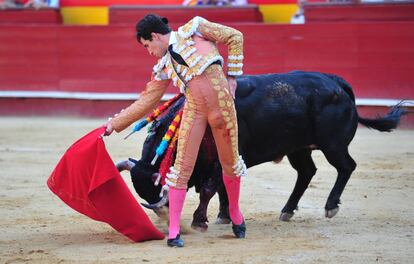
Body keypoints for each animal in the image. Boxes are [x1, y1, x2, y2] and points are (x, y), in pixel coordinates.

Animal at [118, 71, 406, 230]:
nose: (164, 219)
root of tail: (335, 83)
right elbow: (223, 189)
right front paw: (224, 216)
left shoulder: (223, 160)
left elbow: (212, 188)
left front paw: (201, 220)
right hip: (298, 149)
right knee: (306, 172)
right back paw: (287, 210)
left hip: (332, 145)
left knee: (346, 166)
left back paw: (330, 206)